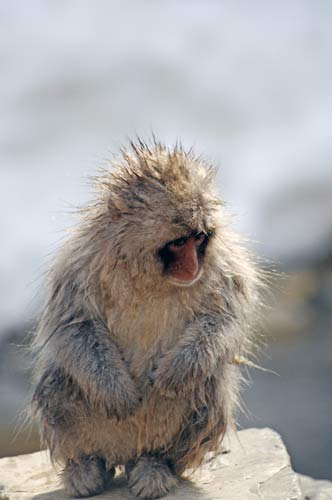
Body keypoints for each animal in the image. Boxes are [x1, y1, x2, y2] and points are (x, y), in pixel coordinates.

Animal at [29, 140, 260, 500]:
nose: (193, 266)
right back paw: (85, 466)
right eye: (178, 242)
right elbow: (73, 325)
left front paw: (176, 372)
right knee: (59, 382)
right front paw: (115, 391)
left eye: (199, 238)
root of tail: (125, 452)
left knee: (208, 383)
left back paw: (157, 464)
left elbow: (225, 318)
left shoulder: (224, 265)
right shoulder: (81, 262)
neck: (150, 276)